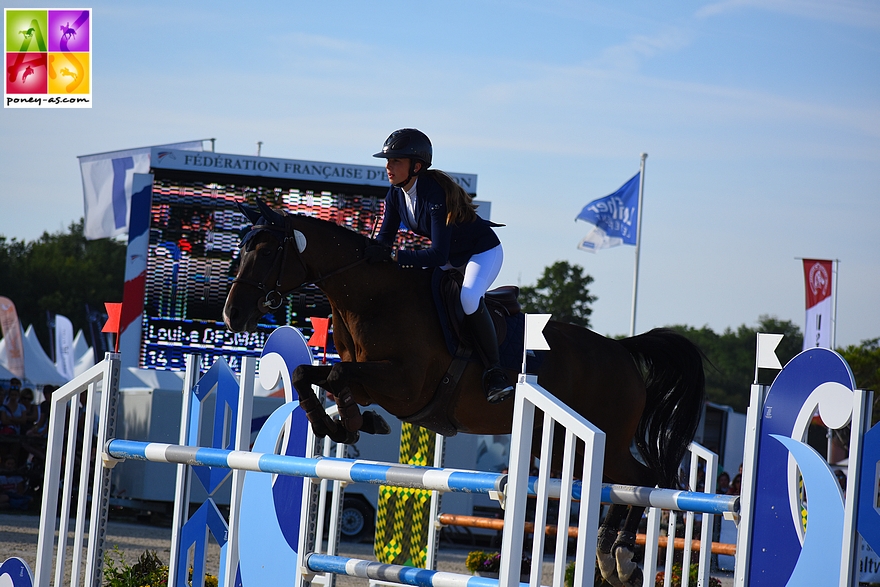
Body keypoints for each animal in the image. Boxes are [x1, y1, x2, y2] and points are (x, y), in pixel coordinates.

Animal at [223, 200, 704, 584]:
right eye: (242, 249)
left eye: (267, 251)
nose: (232, 315)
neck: (373, 298)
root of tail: (622, 350)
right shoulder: (371, 379)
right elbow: (311, 374)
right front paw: (349, 425)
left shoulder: (405, 386)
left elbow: (335, 375)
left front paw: (348, 425)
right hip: (559, 441)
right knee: (623, 483)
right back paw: (613, 556)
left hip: (602, 438)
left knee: (640, 479)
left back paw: (616, 557)